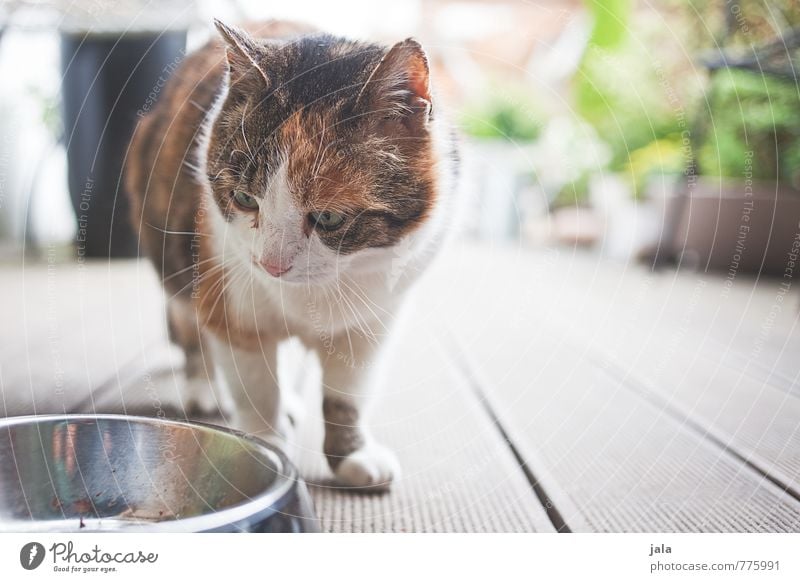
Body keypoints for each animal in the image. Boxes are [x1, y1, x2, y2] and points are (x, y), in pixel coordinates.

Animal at [128, 19, 460, 492]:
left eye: (328, 217)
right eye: (244, 198)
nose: (271, 265)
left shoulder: (370, 326)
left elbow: (347, 397)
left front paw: (352, 454)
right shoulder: (231, 301)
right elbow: (255, 388)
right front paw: (263, 445)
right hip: (175, 256)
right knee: (190, 327)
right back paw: (205, 389)